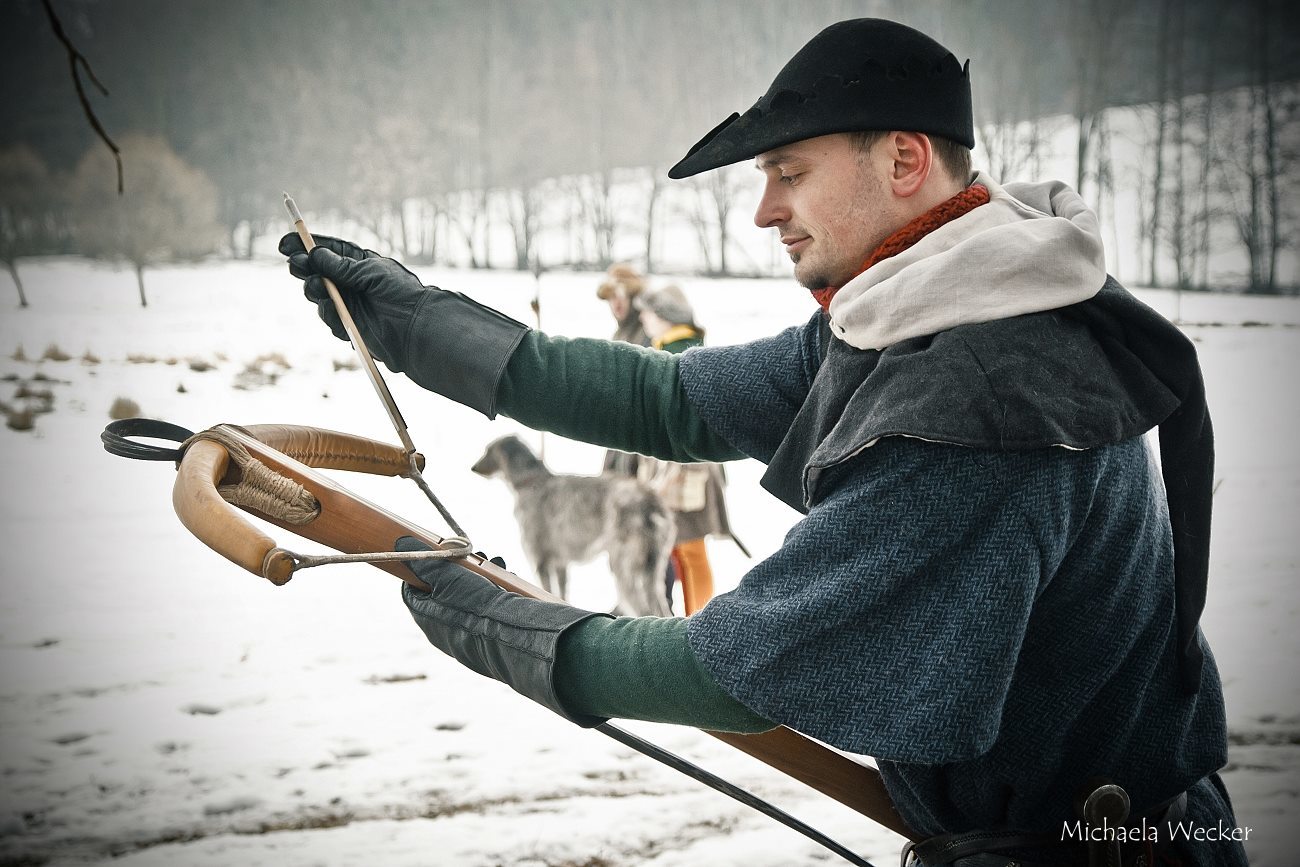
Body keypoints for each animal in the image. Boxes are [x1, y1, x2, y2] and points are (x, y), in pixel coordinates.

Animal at [475, 434, 681, 616]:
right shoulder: (560, 562)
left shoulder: (540, 560)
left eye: (487, 450)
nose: (473, 468)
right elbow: (561, 593)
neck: (530, 480)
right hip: (653, 571)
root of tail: (652, 502)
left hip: (623, 566)